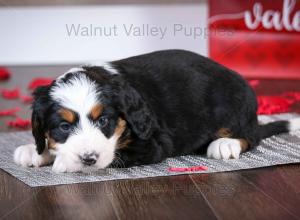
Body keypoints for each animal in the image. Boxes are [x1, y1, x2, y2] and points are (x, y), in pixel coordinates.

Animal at [13, 49, 300, 172]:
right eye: (64, 126)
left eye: (103, 120)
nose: (88, 158)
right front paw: (34, 150)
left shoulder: (151, 144)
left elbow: (115, 155)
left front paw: (62, 161)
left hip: (234, 103)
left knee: (251, 136)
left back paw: (224, 144)